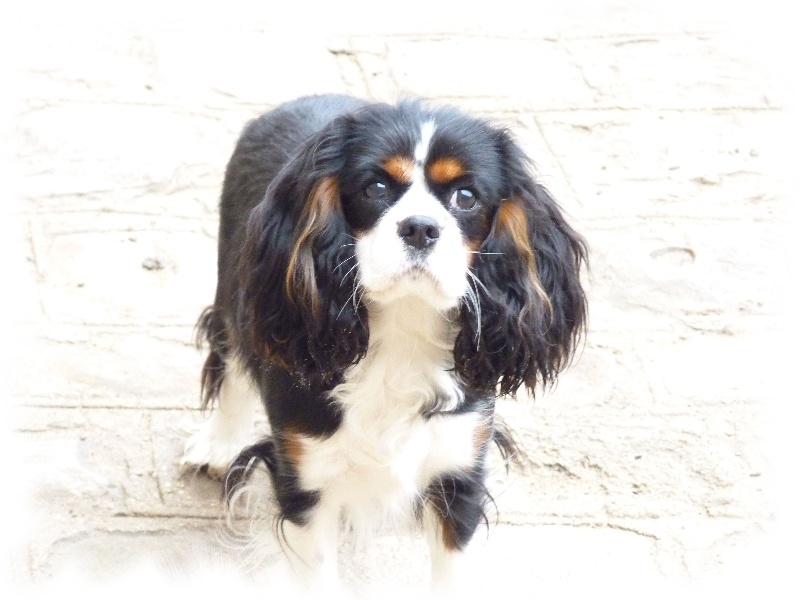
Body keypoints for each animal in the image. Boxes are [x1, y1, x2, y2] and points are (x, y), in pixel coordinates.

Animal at [183, 94, 588, 592]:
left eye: (466, 197)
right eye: (375, 187)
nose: (420, 227)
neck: (402, 326)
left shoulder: (459, 473)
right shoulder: (305, 478)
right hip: (237, 289)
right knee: (233, 356)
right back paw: (218, 445)